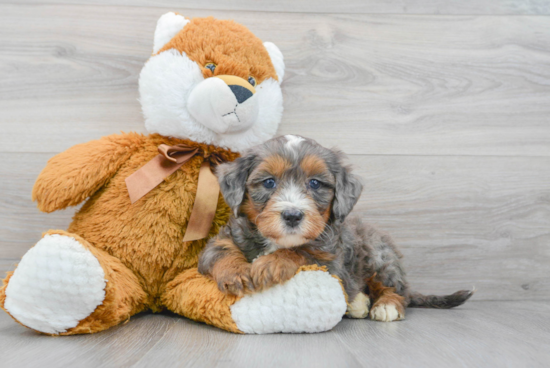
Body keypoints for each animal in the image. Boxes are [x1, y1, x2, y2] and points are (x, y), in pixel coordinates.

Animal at [199, 136, 474, 322]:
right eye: (269, 182)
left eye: (315, 183)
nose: (292, 215)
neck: (279, 241)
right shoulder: (224, 238)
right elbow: (221, 251)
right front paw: (236, 273)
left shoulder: (332, 262)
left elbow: (302, 253)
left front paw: (272, 263)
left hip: (380, 256)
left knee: (397, 290)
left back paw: (385, 305)